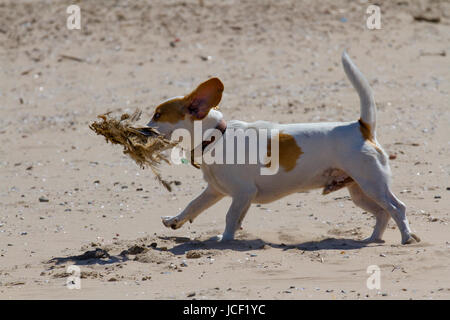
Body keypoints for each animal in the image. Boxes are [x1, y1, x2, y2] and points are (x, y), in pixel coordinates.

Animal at [145, 51, 422, 244]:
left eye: (157, 115)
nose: (142, 130)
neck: (216, 138)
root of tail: (361, 127)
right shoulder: (216, 191)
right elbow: (194, 205)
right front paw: (175, 221)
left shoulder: (242, 193)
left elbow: (230, 218)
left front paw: (224, 240)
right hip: (359, 193)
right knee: (383, 213)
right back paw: (373, 239)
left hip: (372, 185)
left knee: (397, 208)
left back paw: (406, 238)